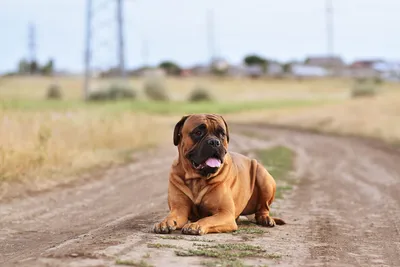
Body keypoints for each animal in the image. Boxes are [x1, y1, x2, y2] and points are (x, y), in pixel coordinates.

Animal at [153, 114, 284, 236]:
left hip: (263, 177)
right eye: (198, 132)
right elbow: (172, 216)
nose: (214, 142)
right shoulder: (179, 209)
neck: (197, 179)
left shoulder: (225, 214)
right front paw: (164, 222)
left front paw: (195, 225)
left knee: (263, 208)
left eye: (222, 134)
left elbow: (208, 219)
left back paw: (265, 218)